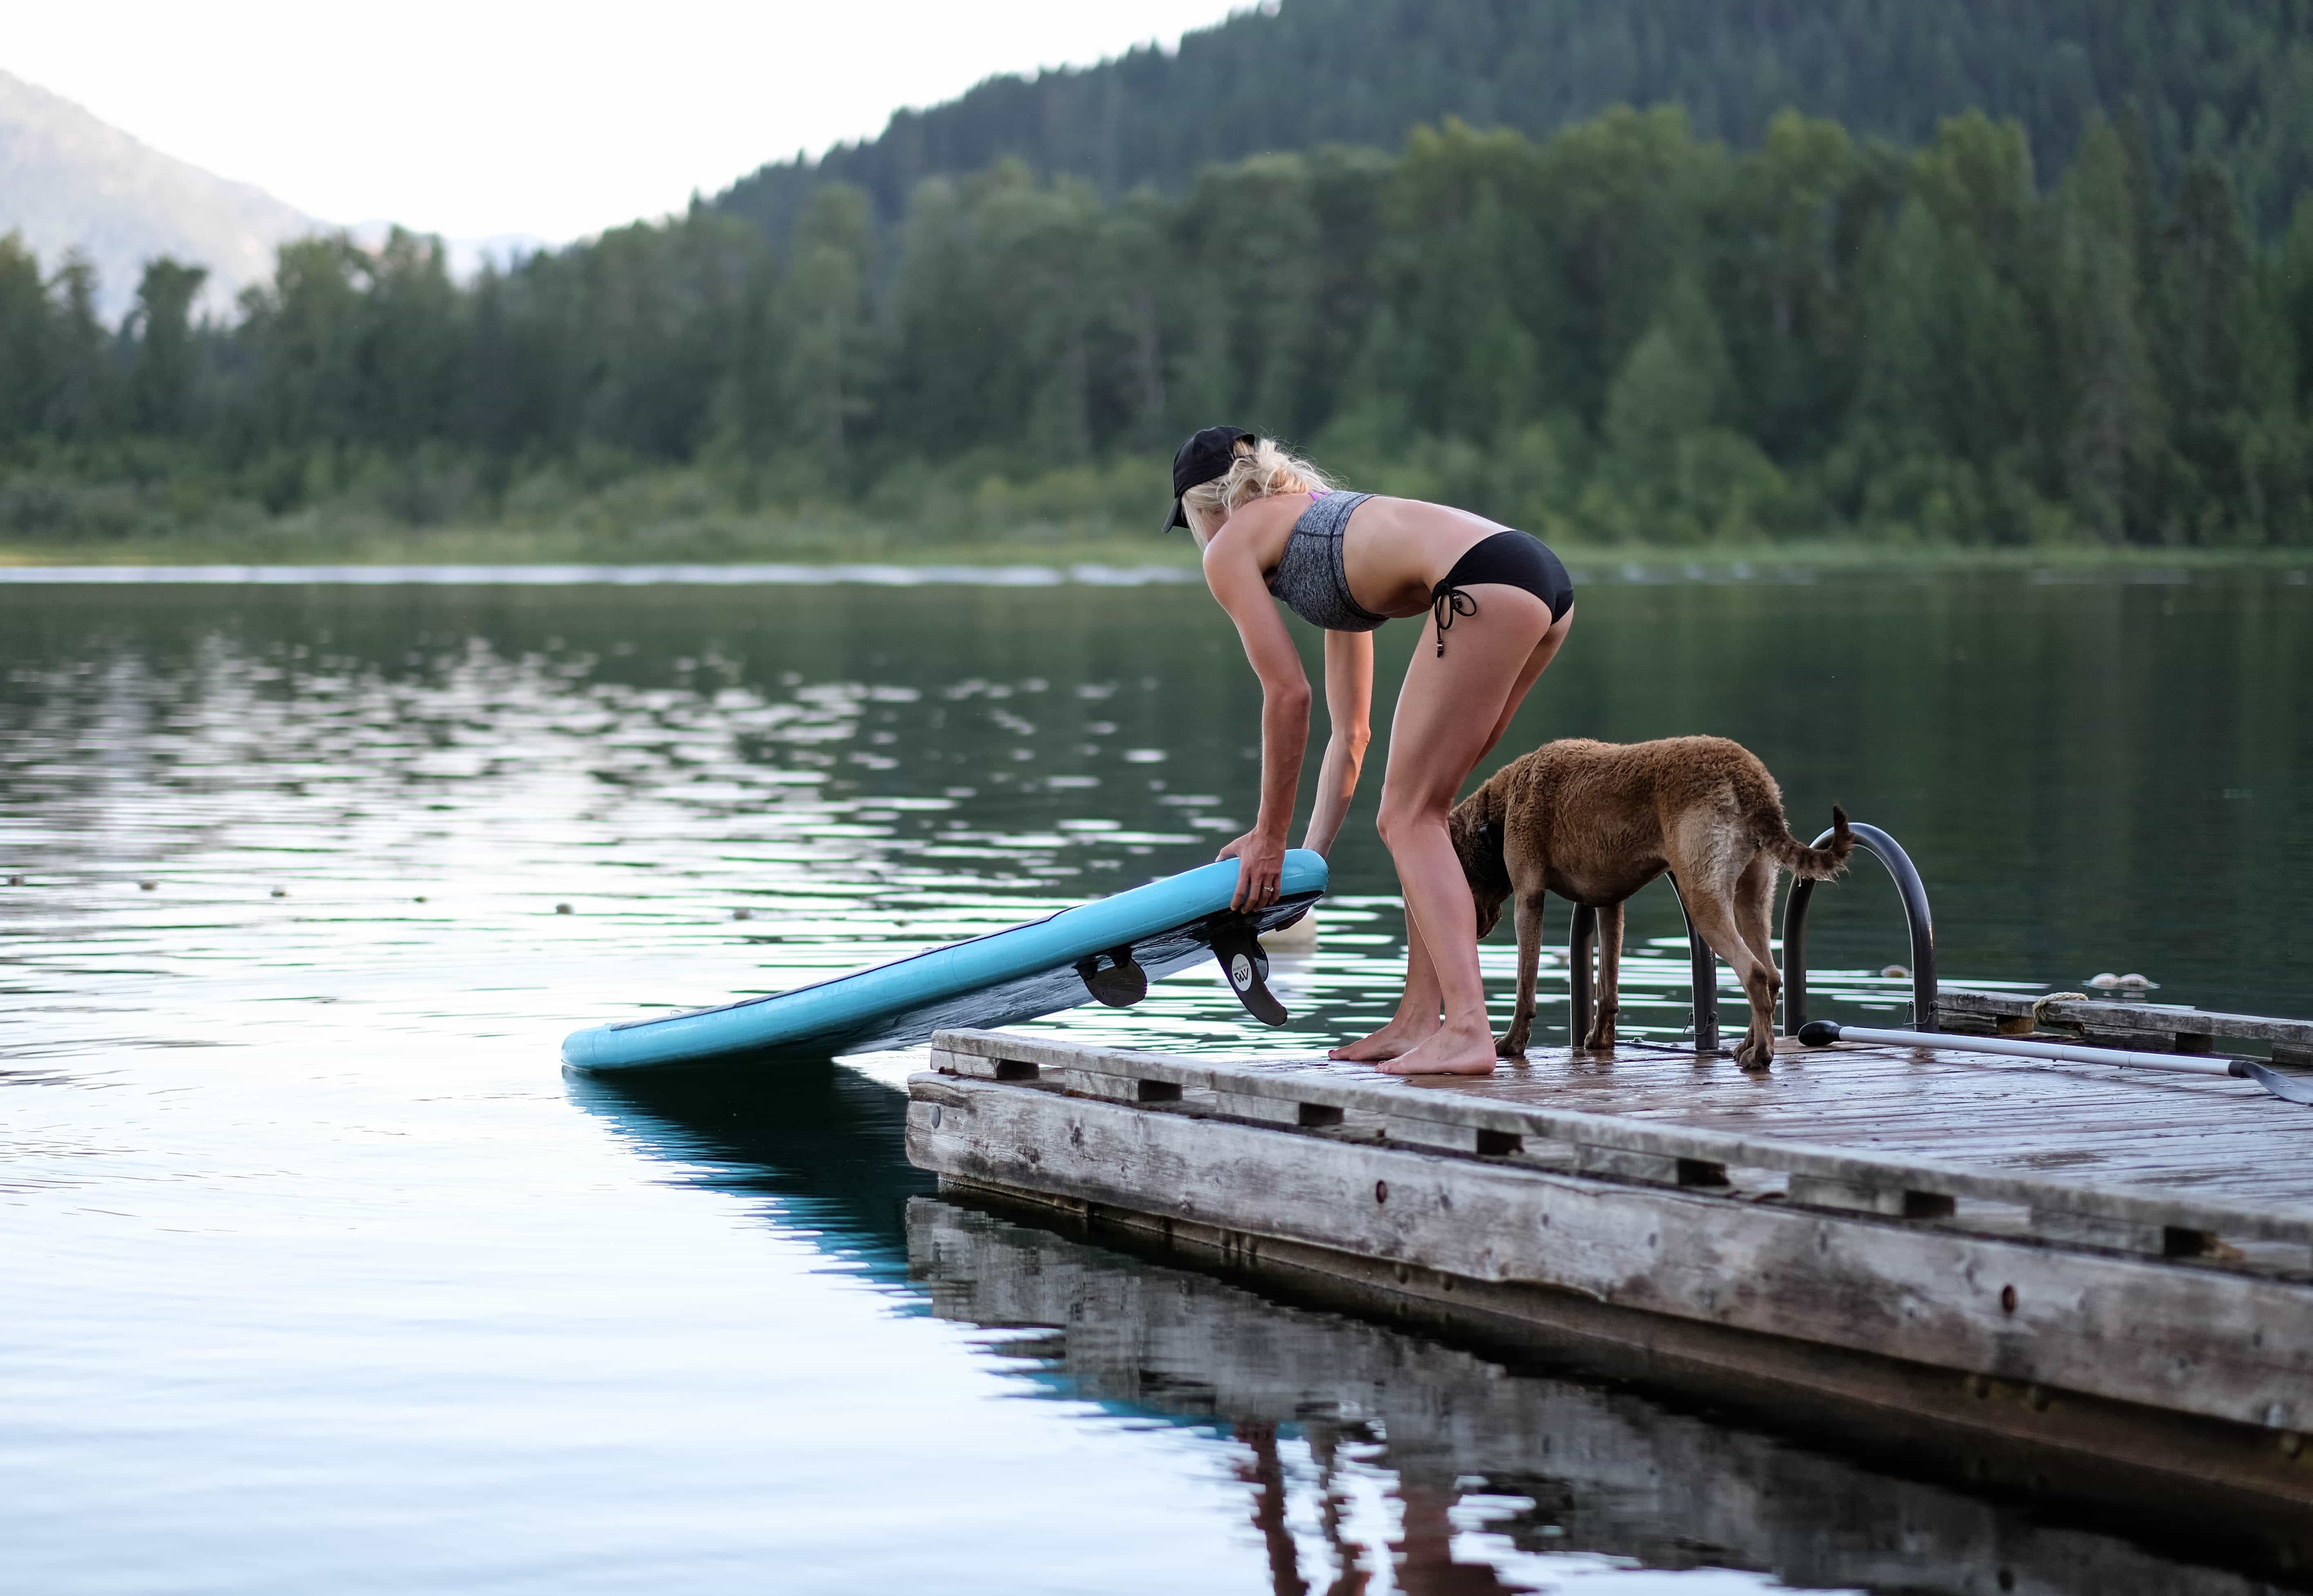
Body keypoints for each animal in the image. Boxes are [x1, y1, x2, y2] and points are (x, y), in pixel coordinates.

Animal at [1453, 735, 1850, 1068]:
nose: (1475, 930)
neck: (1498, 808)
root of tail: (1751, 780)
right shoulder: (1609, 903)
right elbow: (1607, 986)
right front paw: (1600, 1040)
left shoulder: (1529, 899)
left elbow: (1525, 986)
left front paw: (1510, 1044)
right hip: (1751, 895)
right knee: (1770, 974)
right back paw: (1747, 1047)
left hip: (1702, 895)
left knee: (1752, 972)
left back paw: (1761, 1054)